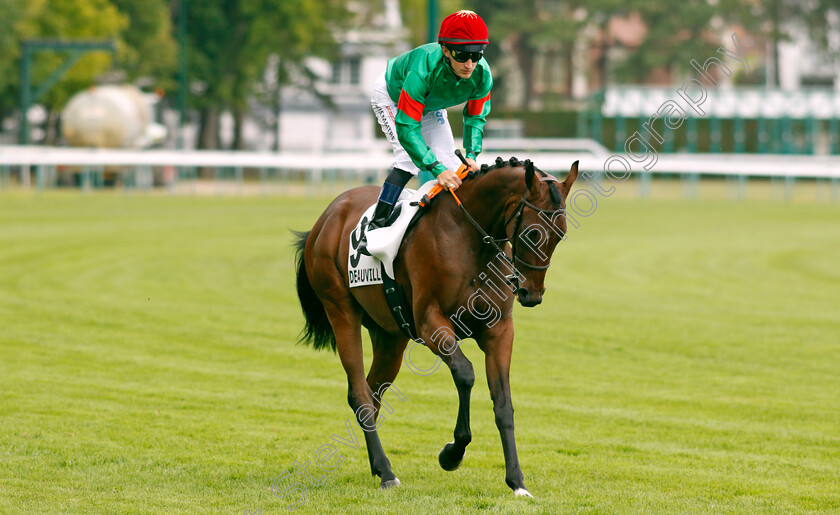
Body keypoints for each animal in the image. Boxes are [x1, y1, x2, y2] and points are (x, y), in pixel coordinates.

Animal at [294, 157, 576, 496]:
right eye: (533, 234)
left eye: (560, 234)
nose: (531, 293)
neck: (469, 239)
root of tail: (327, 216)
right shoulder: (432, 324)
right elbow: (465, 374)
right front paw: (452, 453)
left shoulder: (499, 331)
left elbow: (503, 402)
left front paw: (517, 481)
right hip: (340, 311)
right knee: (360, 393)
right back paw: (387, 472)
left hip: (389, 336)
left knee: (373, 392)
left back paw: (378, 466)